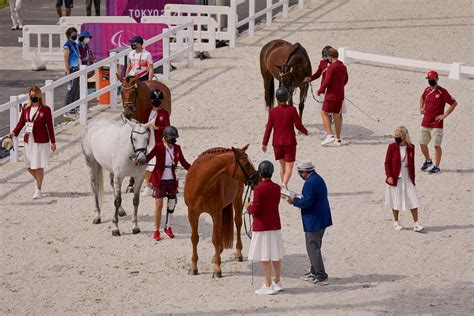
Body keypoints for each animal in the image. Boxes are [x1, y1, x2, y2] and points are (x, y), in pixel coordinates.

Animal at [185, 144, 260, 278]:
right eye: (246, 164)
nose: (258, 179)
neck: (200, 183)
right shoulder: (192, 213)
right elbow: (194, 238)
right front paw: (193, 267)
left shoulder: (215, 213)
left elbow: (215, 239)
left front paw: (217, 269)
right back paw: (217, 254)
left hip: (236, 198)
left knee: (238, 223)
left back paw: (237, 253)